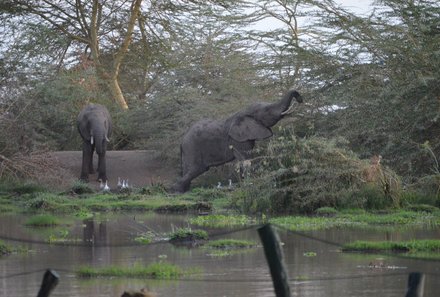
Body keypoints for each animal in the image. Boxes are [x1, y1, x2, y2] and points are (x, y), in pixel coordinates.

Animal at [172, 88, 302, 192]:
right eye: (266, 111)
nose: (300, 99)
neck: (245, 112)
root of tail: (182, 140)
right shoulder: (238, 139)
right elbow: (245, 159)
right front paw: (252, 184)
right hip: (192, 146)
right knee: (197, 169)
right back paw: (176, 192)